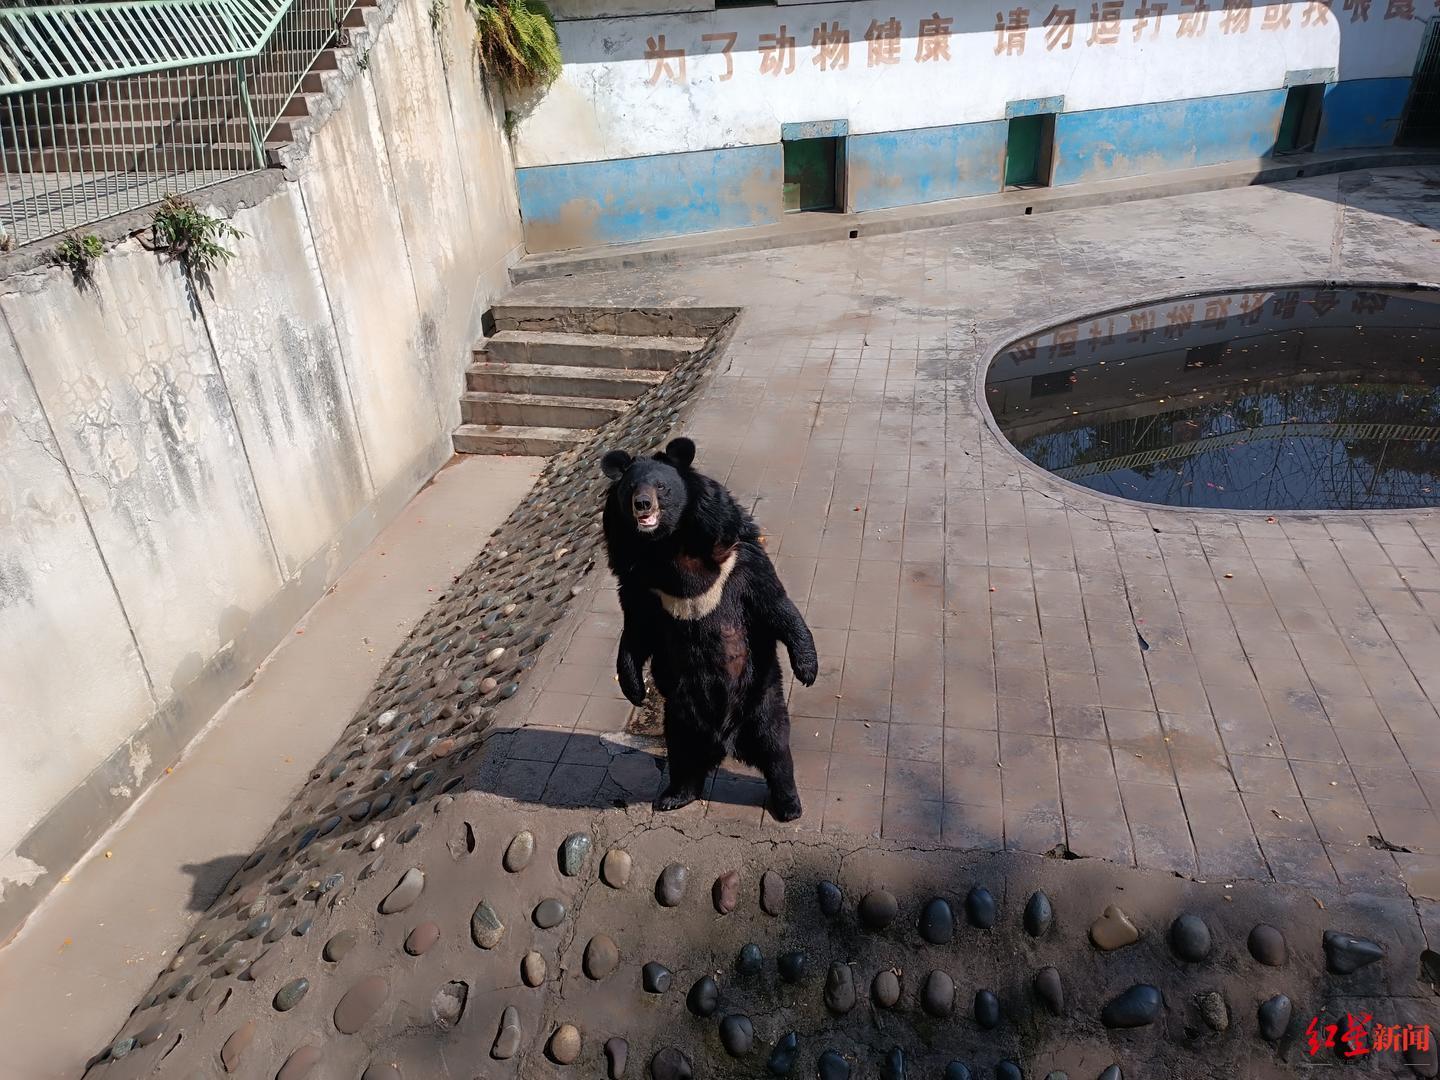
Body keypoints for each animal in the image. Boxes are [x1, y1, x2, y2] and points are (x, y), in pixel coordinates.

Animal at [600, 436, 819, 821]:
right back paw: (674, 796)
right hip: (680, 713)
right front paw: (634, 689)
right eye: (630, 489)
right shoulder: (639, 582)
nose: (643, 505)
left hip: (760, 698)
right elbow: (636, 631)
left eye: (661, 486)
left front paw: (807, 669)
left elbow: (776, 604)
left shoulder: (739, 559)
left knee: (776, 748)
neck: (667, 546)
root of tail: (726, 739)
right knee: (683, 755)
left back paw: (788, 805)